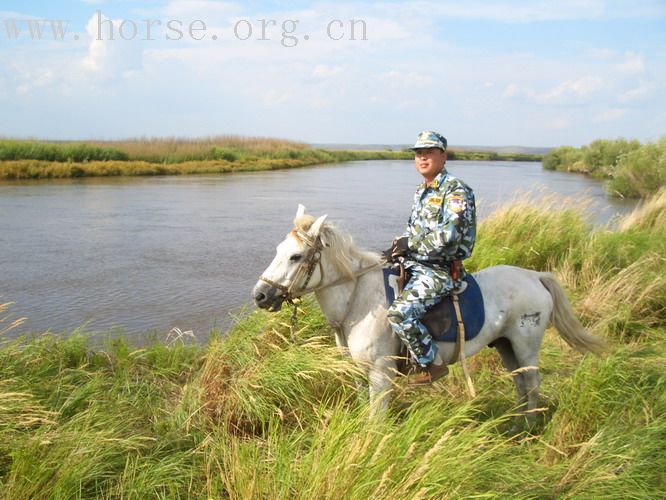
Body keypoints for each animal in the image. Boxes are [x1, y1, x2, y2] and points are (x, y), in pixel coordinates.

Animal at [252, 205, 604, 424]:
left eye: (296, 256)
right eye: (278, 251)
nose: (260, 295)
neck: (358, 301)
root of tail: (534, 276)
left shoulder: (381, 375)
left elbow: (376, 419)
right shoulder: (359, 372)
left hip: (526, 345)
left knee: (532, 384)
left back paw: (528, 428)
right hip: (506, 346)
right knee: (520, 384)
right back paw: (516, 427)